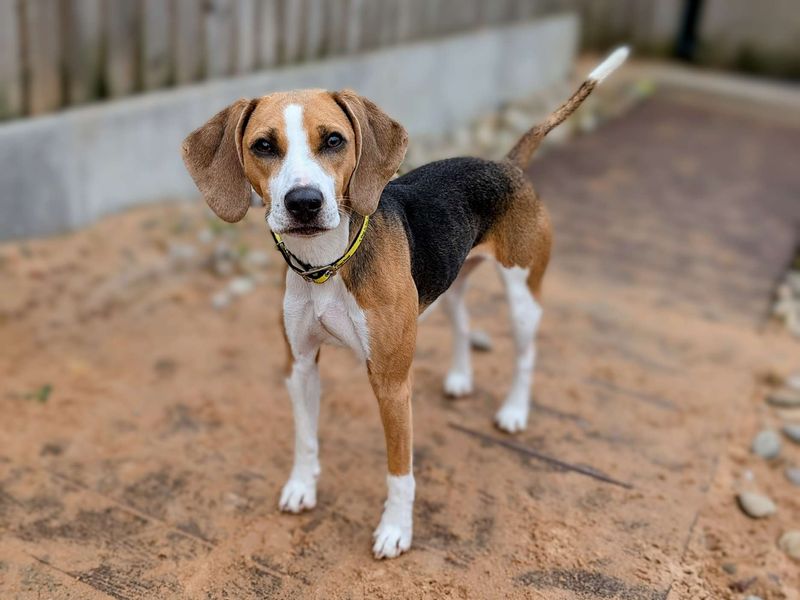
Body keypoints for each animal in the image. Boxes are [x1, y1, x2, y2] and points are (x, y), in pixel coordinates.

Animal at [184, 45, 628, 556]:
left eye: (333, 140)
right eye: (263, 146)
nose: (304, 202)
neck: (327, 266)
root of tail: (506, 164)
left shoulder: (392, 384)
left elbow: (400, 470)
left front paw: (396, 530)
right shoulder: (300, 364)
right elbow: (305, 439)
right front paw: (302, 486)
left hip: (523, 295)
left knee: (526, 356)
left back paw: (515, 411)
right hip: (451, 282)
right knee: (462, 321)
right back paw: (460, 377)